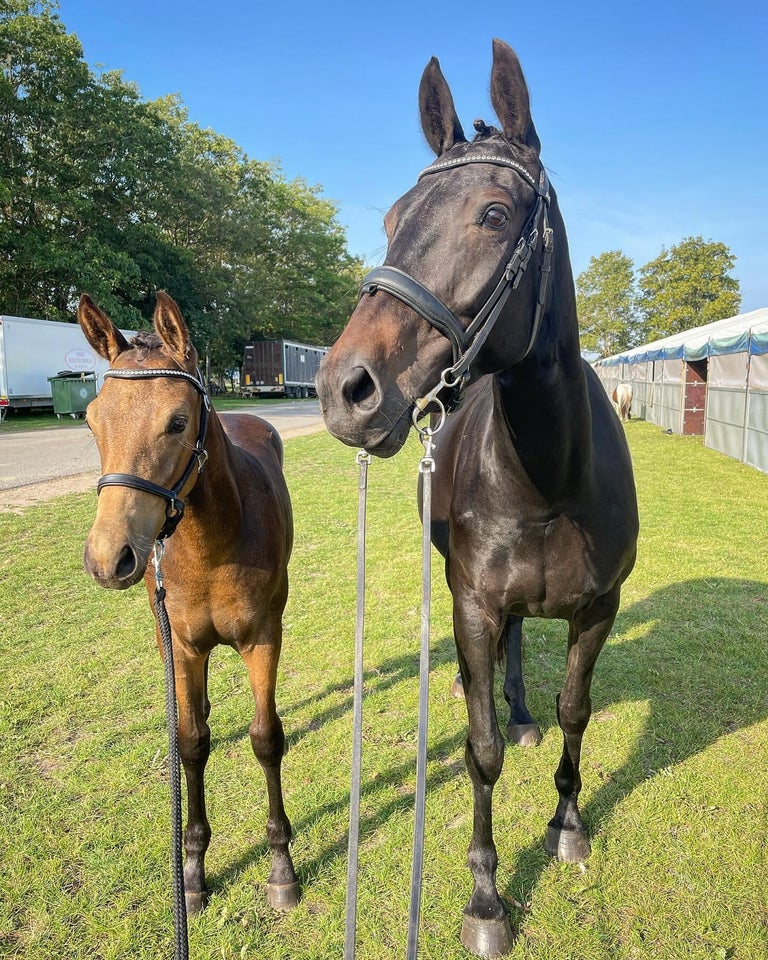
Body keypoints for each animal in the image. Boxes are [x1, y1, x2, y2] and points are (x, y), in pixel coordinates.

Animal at [77, 292, 300, 916]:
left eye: (177, 421)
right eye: (92, 420)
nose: (108, 558)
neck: (211, 546)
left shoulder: (263, 638)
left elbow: (266, 738)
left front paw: (280, 867)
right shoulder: (178, 645)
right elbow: (191, 744)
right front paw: (193, 870)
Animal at [316, 39, 640, 960]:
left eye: (495, 214)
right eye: (393, 217)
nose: (344, 389)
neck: (551, 479)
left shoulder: (600, 609)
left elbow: (576, 711)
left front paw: (568, 824)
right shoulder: (469, 604)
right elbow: (481, 748)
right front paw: (487, 898)